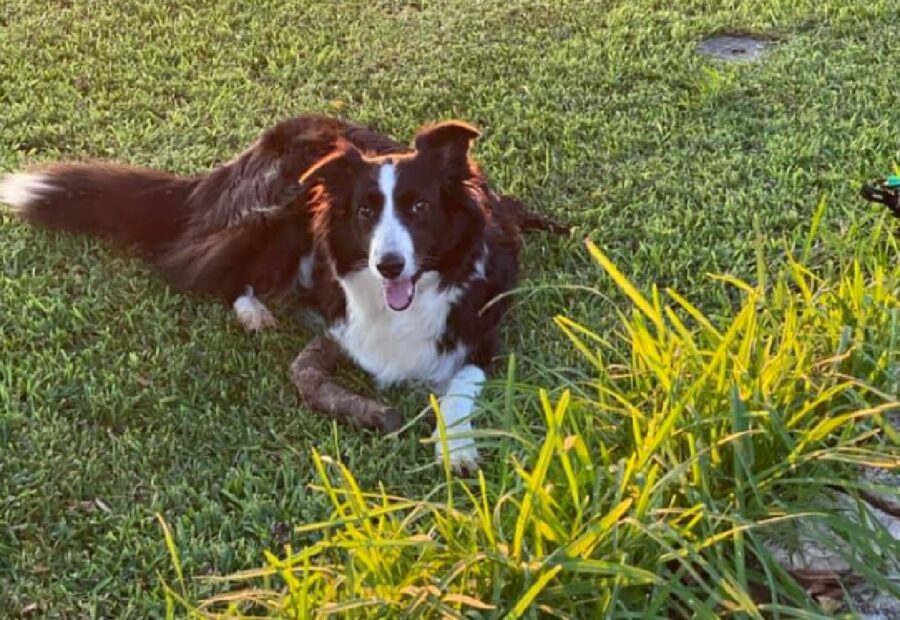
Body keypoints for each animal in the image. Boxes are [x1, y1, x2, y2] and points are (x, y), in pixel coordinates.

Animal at [0, 114, 564, 470]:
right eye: (366, 211)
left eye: (419, 207)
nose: (388, 265)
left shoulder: (482, 338)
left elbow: (459, 391)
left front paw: (458, 449)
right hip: (281, 211)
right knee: (203, 267)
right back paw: (253, 310)